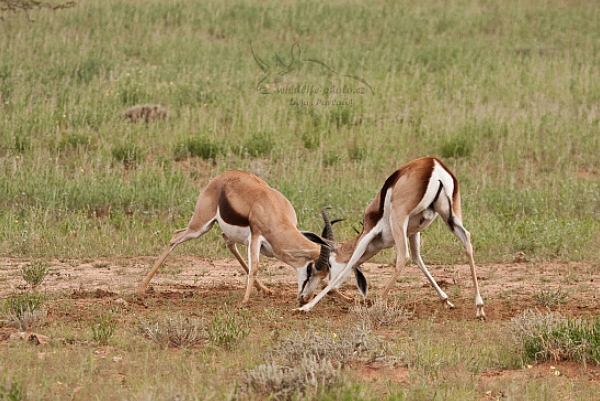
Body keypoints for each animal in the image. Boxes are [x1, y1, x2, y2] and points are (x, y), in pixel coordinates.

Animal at [137, 169, 350, 304]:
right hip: (200, 226)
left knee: (228, 243)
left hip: (225, 233)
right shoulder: (256, 236)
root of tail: (221, 176)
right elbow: (255, 267)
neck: (272, 209)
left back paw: (266, 290)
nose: (304, 299)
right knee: (176, 236)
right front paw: (244, 301)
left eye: (325, 274)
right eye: (309, 270)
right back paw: (140, 289)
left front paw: (346, 298)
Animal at [298, 158, 486, 318]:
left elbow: (349, 264)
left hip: (399, 217)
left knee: (403, 256)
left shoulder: (369, 232)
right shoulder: (413, 231)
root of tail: (434, 164)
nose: (303, 297)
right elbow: (418, 259)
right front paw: (446, 301)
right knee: (467, 240)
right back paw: (479, 308)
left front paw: (306, 307)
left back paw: (376, 305)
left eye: (328, 264)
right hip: (450, 215)